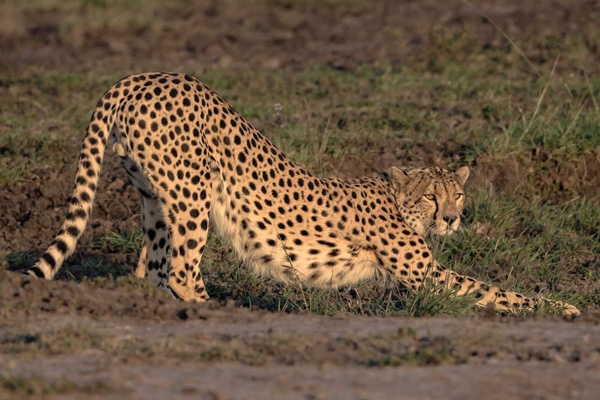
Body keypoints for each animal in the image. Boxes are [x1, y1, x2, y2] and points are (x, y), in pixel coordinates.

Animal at [24, 72, 580, 316]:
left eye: (457, 196)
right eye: (430, 197)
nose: (450, 219)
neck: (397, 201)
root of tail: (138, 76)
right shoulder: (427, 275)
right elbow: (495, 291)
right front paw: (562, 308)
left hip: (156, 197)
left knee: (155, 266)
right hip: (193, 193)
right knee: (180, 268)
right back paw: (217, 307)